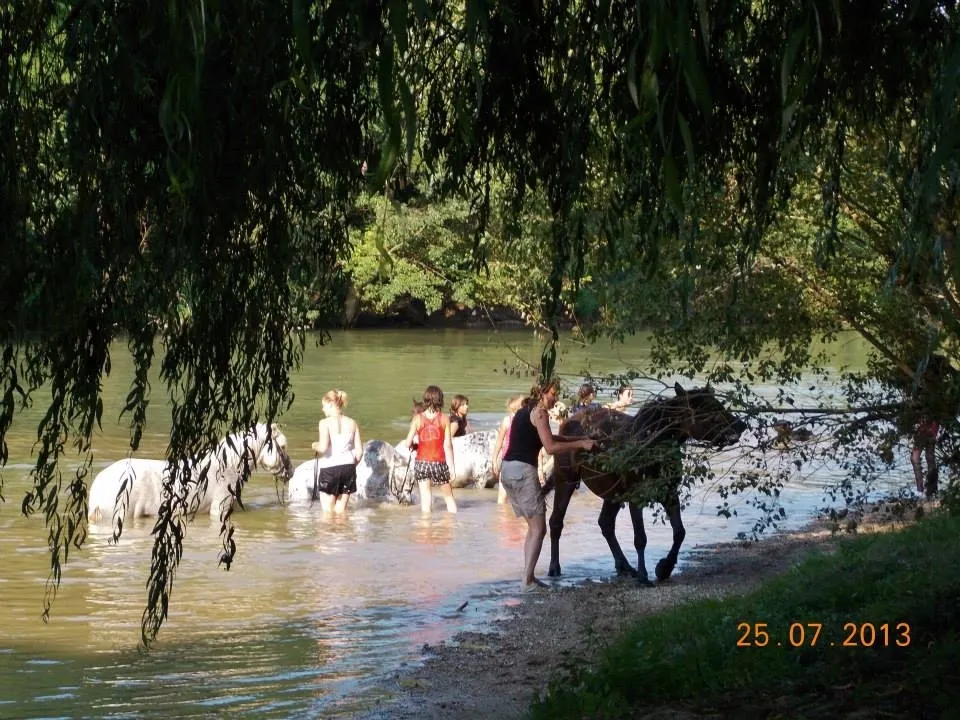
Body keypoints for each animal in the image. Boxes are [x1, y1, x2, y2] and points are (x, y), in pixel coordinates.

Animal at [547, 384, 747, 586]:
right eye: (709, 409)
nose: (741, 425)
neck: (655, 446)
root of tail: (566, 422)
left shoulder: (669, 493)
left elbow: (679, 532)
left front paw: (664, 568)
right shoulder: (637, 497)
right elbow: (640, 538)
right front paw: (644, 575)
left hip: (613, 493)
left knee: (606, 523)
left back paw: (625, 566)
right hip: (566, 479)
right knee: (556, 521)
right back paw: (554, 568)